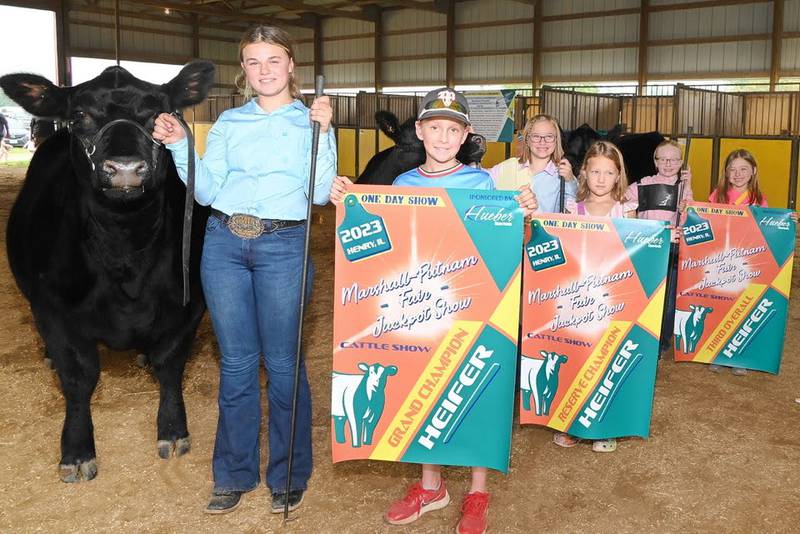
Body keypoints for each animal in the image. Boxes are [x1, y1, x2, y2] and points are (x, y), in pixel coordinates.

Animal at [0, 60, 216, 484]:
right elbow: (78, 377)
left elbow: (170, 363)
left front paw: (172, 430)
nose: (126, 168)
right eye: (79, 115)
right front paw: (76, 449)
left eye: (158, 114)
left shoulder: (189, 303)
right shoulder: (52, 309)